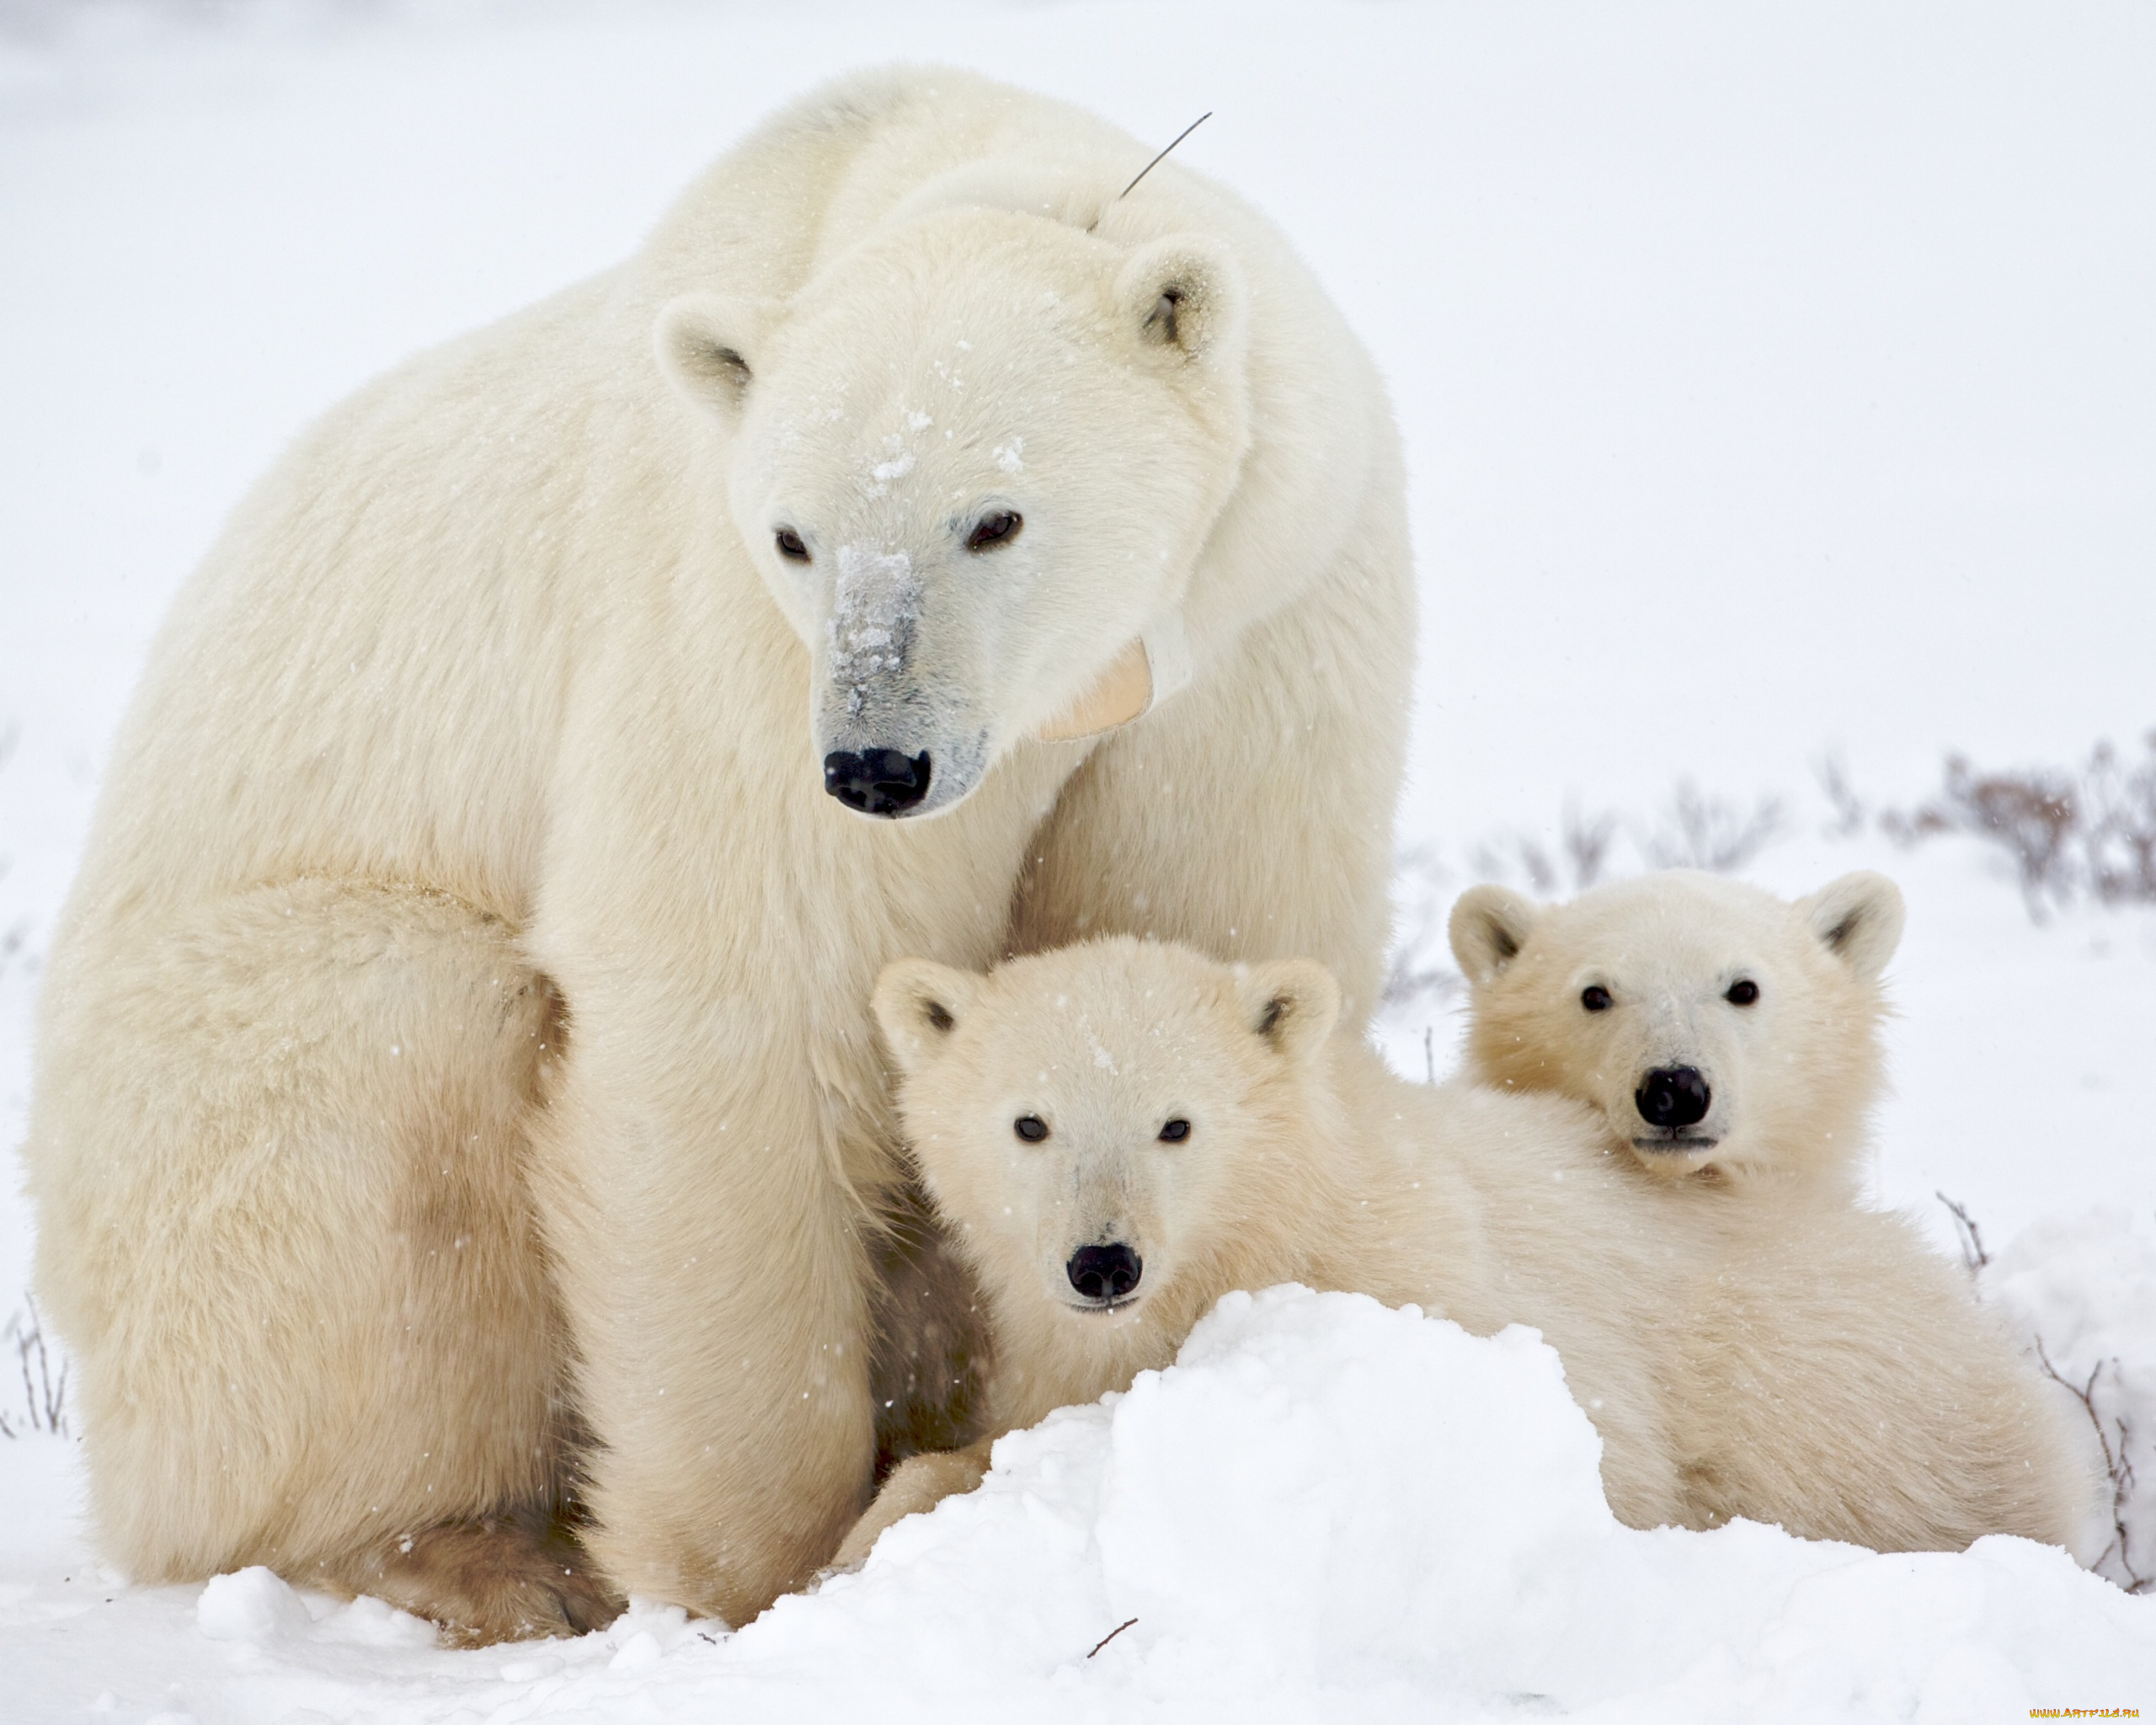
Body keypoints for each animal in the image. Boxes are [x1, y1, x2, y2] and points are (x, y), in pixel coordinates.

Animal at [25, 70, 1422, 1647]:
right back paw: (479, 1555)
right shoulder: (728, 639)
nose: (878, 764)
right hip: (197, 1118)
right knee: (395, 1078)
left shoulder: (1258, 631)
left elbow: (1195, 931)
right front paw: (763, 1567)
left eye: (995, 516)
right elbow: (740, 997)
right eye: (796, 534)